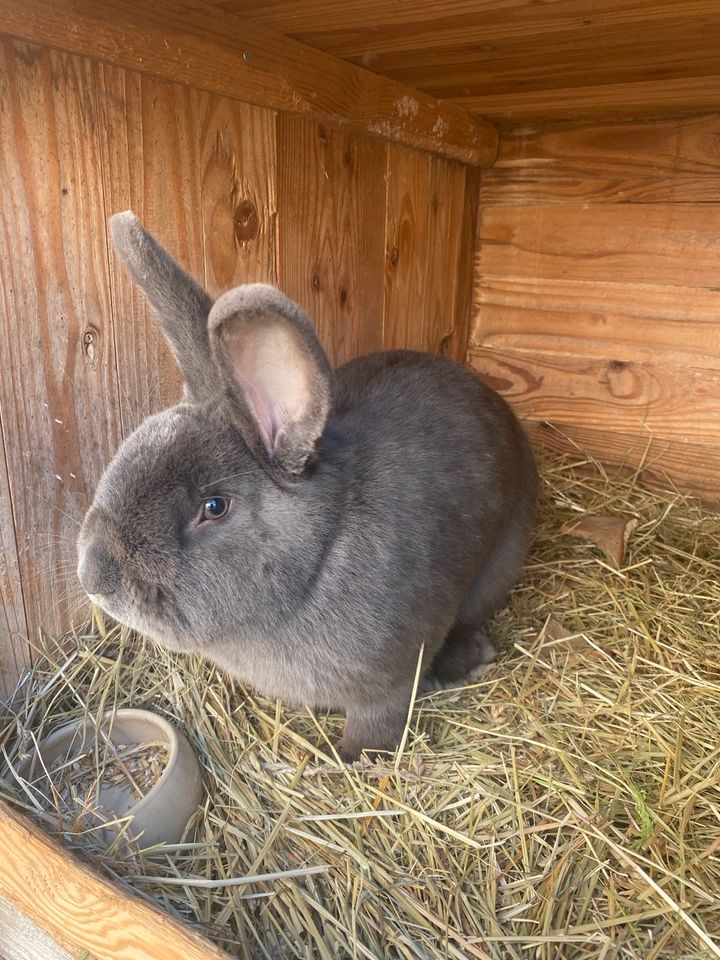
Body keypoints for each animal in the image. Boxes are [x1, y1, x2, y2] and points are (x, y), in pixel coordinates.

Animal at [77, 214, 540, 760]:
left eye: (214, 506)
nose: (94, 577)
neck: (318, 559)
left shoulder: (391, 680)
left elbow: (380, 721)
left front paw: (355, 759)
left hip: (498, 566)